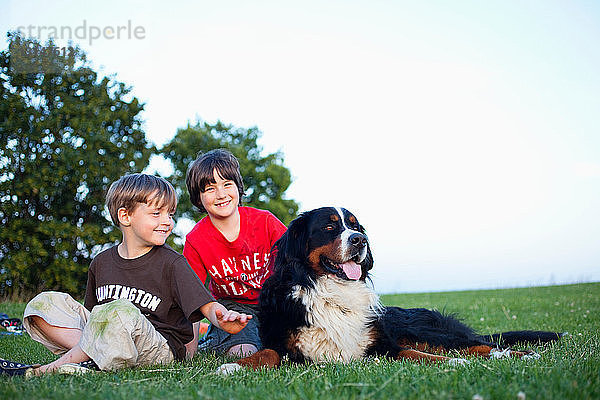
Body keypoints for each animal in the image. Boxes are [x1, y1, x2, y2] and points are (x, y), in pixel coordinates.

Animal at [219, 208, 564, 374]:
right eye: (329, 227)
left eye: (355, 225)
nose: (359, 239)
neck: (331, 294)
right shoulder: (285, 345)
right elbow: (266, 353)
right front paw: (230, 367)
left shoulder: (383, 344)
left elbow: (415, 354)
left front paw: (451, 364)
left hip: (425, 331)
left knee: (479, 344)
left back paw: (517, 354)